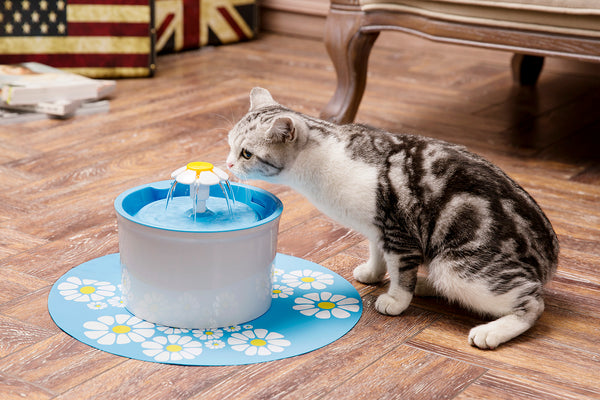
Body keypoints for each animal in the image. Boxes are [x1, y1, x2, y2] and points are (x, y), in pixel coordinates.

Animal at [225, 88, 556, 350]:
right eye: (229, 143)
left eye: (246, 154)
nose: (227, 163)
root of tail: (548, 259)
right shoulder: (376, 228)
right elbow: (377, 254)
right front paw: (373, 272)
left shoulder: (398, 231)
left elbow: (400, 271)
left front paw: (395, 300)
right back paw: (427, 285)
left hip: (460, 268)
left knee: (533, 302)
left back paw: (490, 331)